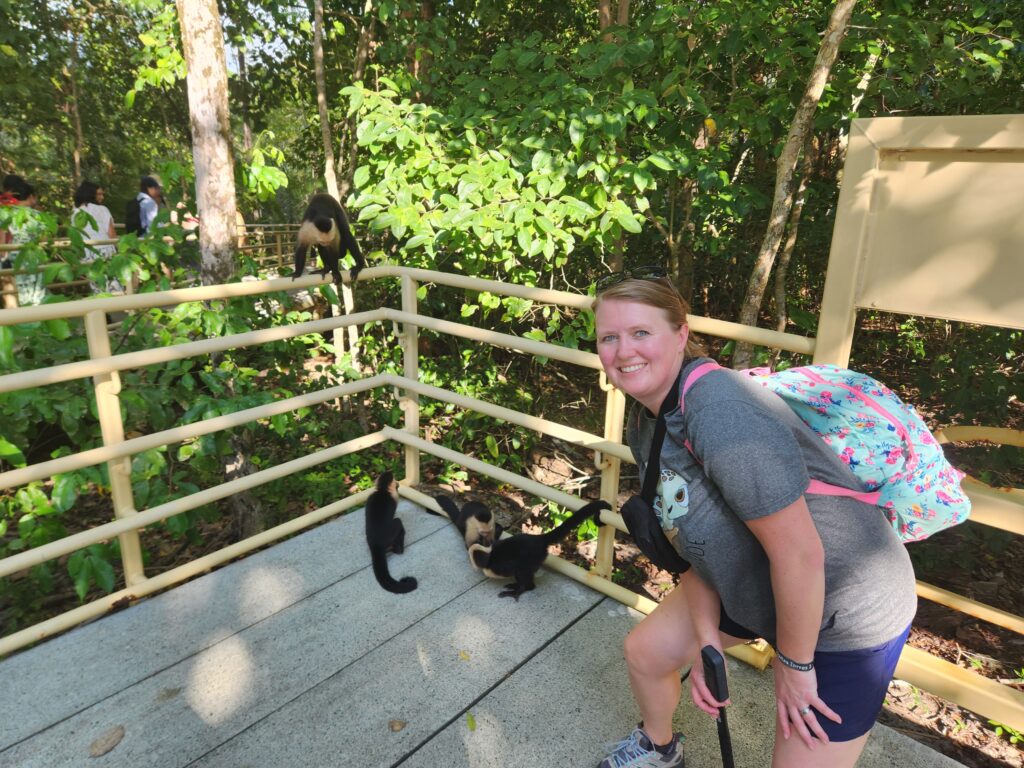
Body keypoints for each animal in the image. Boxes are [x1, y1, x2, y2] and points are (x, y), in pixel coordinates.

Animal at [467, 499, 610, 600]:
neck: (490, 556)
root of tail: (539, 539)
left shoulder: (497, 566)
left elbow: (515, 568)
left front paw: (519, 589)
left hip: (535, 557)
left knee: (523, 572)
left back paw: (522, 588)